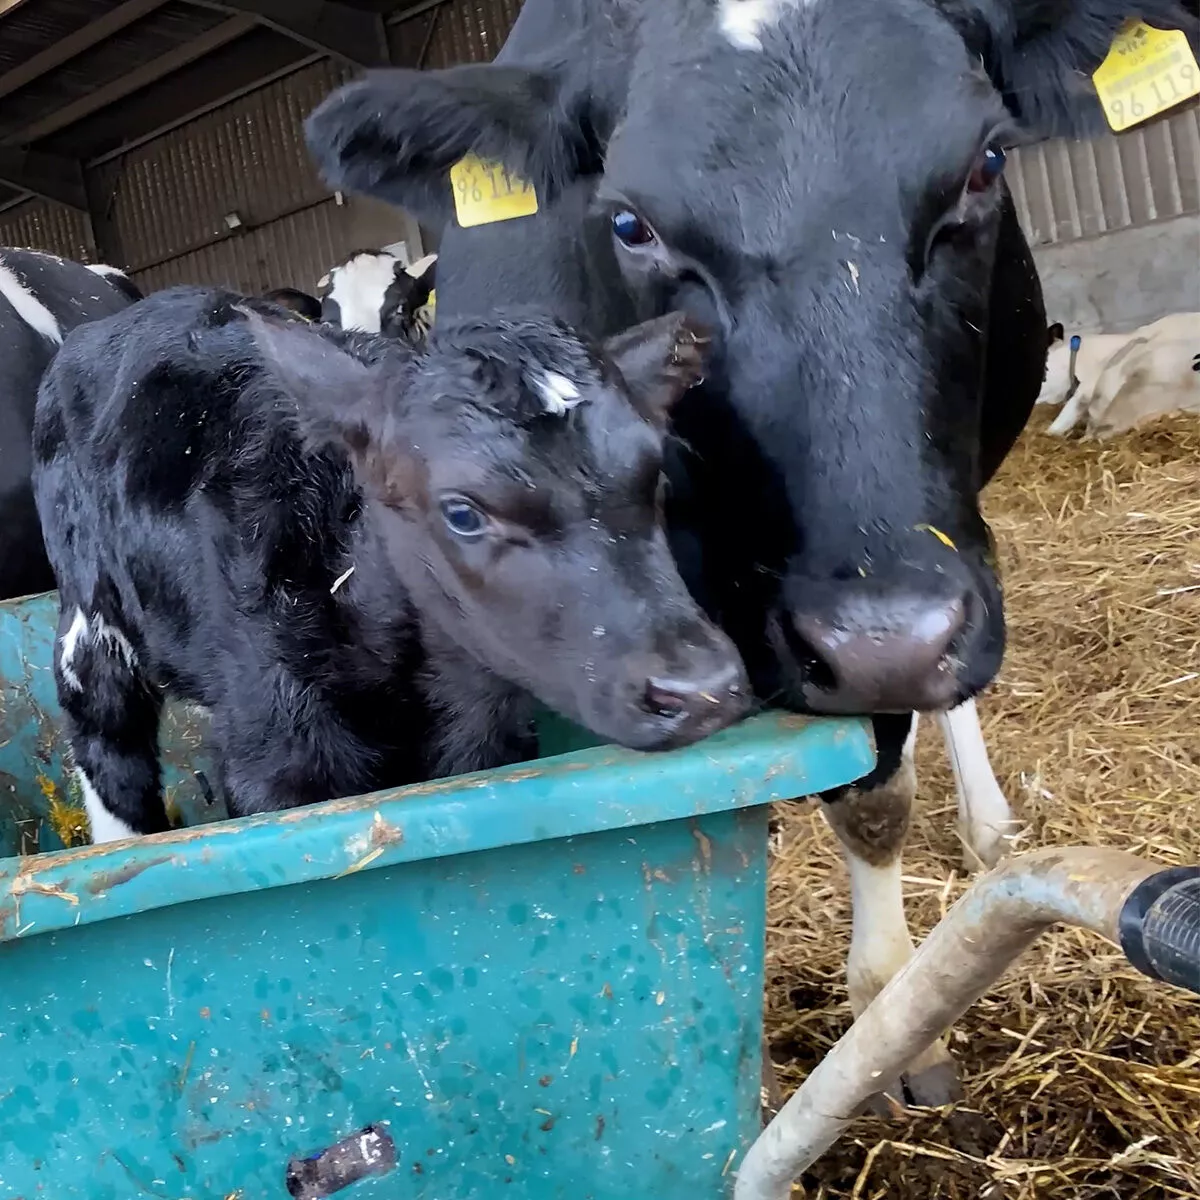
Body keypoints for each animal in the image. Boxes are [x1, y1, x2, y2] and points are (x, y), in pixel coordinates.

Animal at [32, 286, 748, 844]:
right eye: (462, 513)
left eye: (657, 477)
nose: (701, 689)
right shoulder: (273, 757)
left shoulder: (483, 739)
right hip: (89, 629)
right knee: (108, 742)